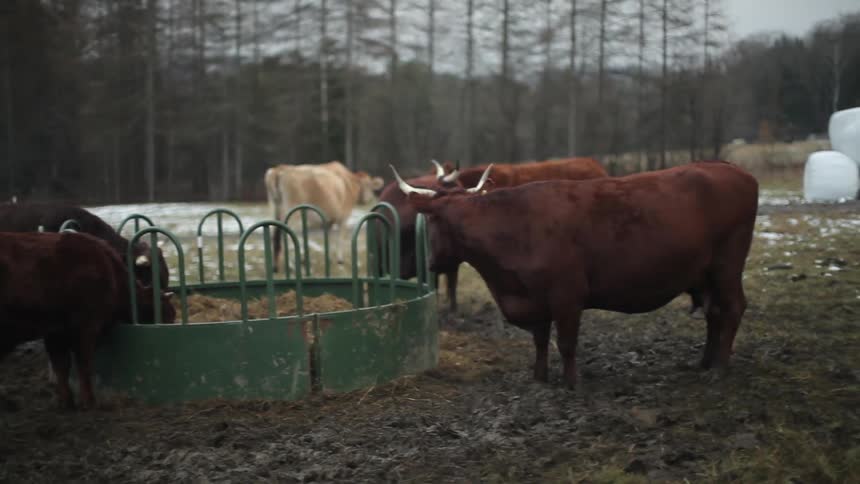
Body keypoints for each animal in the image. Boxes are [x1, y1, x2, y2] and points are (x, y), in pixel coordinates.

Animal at [0, 232, 176, 409]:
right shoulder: (85, 327)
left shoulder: (55, 333)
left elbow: (61, 366)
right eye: (167, 315)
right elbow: (83, 364)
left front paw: (66, 402)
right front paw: (89, 401)